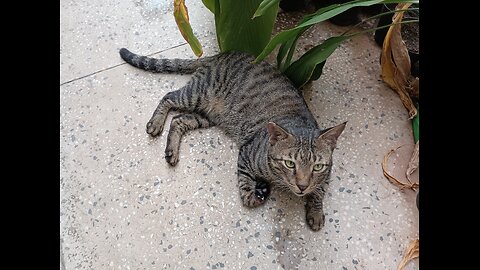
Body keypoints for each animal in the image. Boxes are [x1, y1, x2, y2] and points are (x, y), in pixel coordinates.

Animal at [119, 48, 344, 230]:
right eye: (290, 163)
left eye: (317, 167)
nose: (302, 186)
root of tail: (222, 54)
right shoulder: (246, 155)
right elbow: (246, 192)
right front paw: (257, 194)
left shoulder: (327, 173)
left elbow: (320, 190)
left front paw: (316, 211)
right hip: (197, 95)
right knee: (168, 97)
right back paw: (156, 123)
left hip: (206, 116)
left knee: (178, 120)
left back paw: (171, 151)